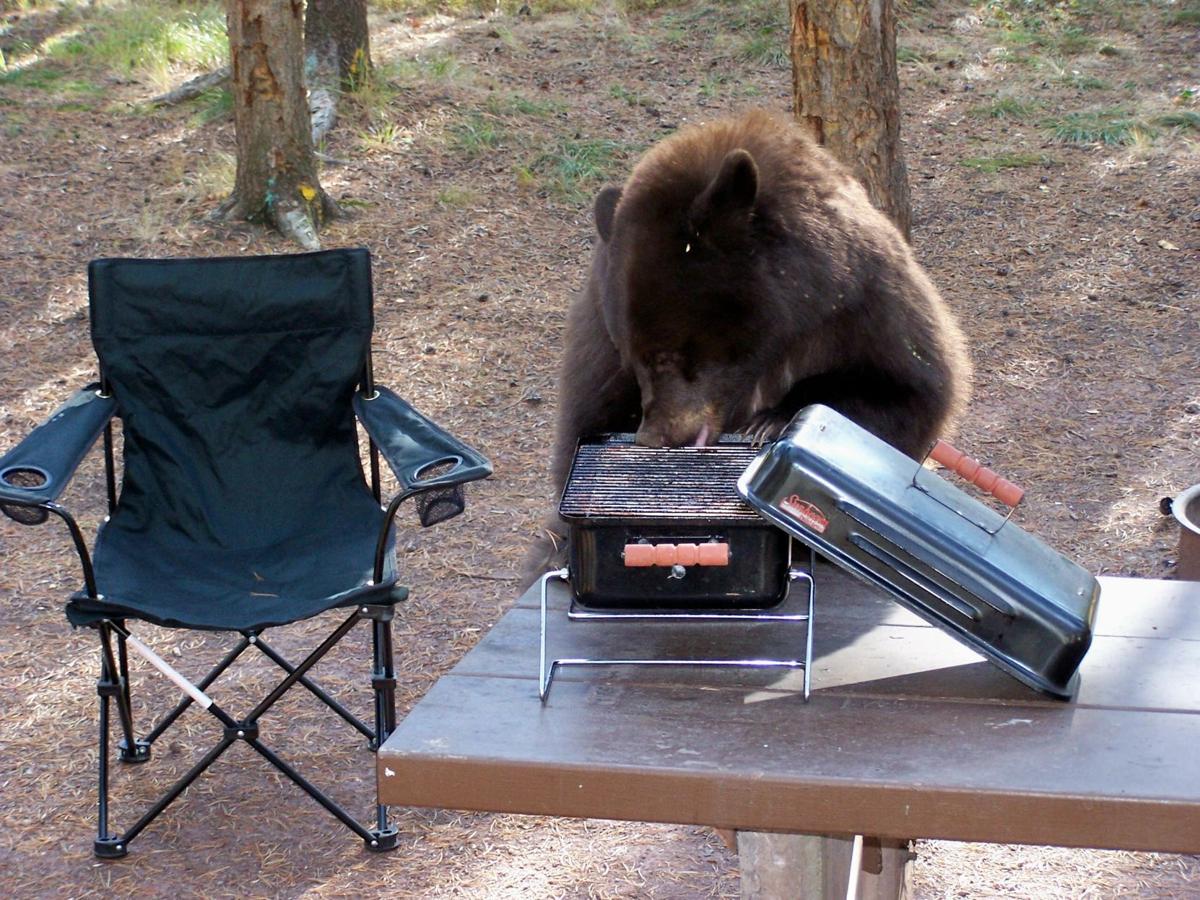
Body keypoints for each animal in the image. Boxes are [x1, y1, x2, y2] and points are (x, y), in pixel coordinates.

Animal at [524, 109, 971, 583]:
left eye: (671, 353)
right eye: (634, 358)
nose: (653, 437)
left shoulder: (864, 311)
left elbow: (906, 396)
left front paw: (770, 422)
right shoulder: (597, 334)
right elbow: (587, 418)